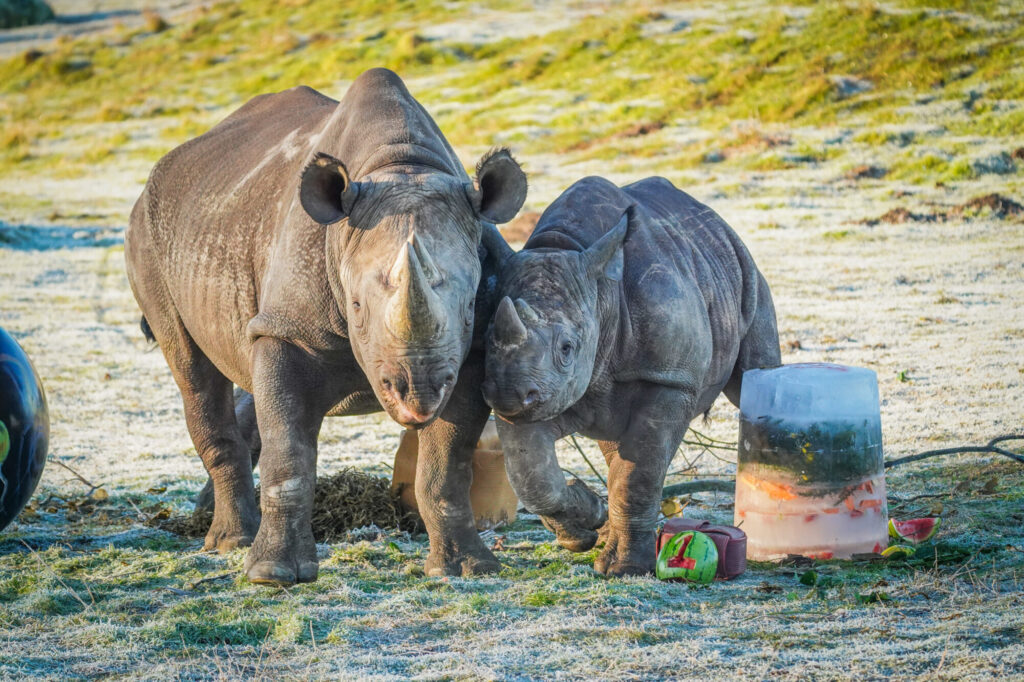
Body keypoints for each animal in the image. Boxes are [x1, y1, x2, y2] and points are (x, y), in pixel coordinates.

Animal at [125, 68, 527, 585]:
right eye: (355, 306)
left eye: (469, 308)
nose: (415, 395)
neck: (399, 166)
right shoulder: (287, 330)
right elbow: (288, 453)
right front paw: (273, 575)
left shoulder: (470, 350)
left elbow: (448, 464)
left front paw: (466, 569)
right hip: (147, 235)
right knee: (192, 369)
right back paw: (229, 542)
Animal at [482, 176, 780, 576]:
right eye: (486, 341)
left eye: (567, 348)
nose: (509, 394)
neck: (601, 295)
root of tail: (719, 223)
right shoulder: (534, 391)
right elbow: (532, 475)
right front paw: (585, 523)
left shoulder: (668, 379)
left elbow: (638, 475)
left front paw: (624, 569)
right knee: (611, 446)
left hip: (745, 272)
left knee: (753, 377)